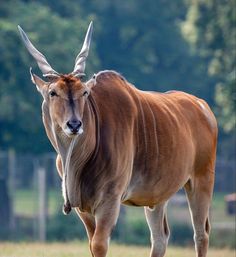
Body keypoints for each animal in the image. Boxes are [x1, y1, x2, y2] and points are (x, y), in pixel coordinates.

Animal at [18, 22, 218, 256]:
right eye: (53, 93)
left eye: (84, 92)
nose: (74, 125)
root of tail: (203, 107)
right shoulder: (84, 210)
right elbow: (92, 244)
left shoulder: (110, 200)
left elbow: (99, 244)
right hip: (158, 196)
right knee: (160, 237)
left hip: (202, 180)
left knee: (201, 234)